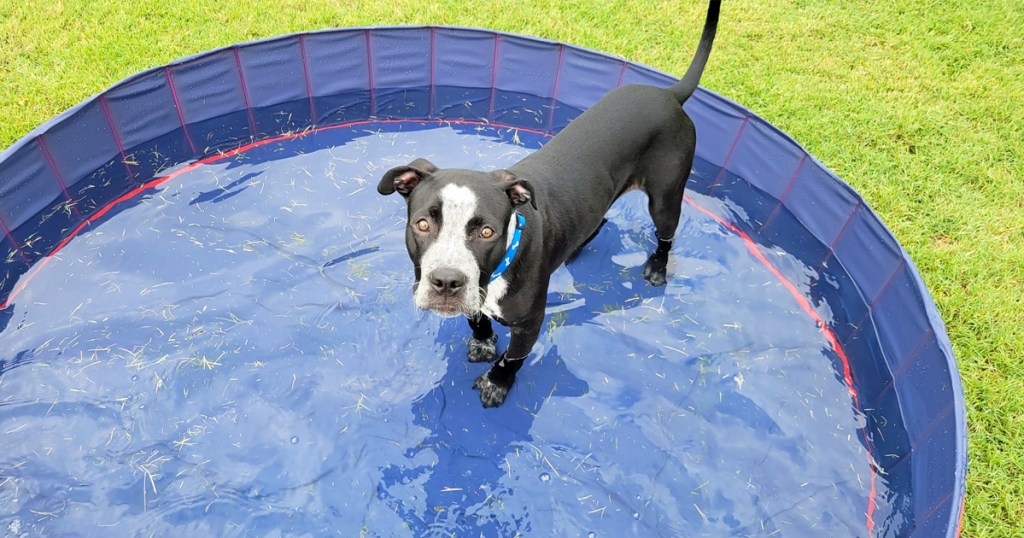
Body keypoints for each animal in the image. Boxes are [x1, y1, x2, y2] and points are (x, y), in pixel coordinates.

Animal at [376, 0, 720, 401]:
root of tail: (669, 94)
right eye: (423, 224)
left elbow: (514, 358)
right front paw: (482, 342)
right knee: (599, 219)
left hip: (665, 197)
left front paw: (497, 383)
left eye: (487, 232)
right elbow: (476, 319)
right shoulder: (475, 295)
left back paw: (657, 268)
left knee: (665, 234)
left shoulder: (530, 322)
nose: (446, 282)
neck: (499, 269)